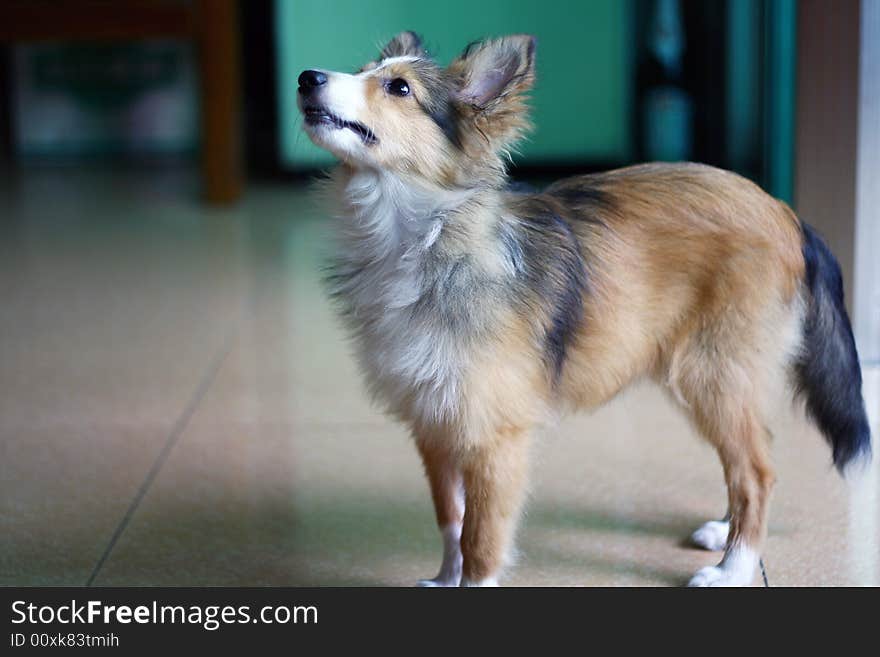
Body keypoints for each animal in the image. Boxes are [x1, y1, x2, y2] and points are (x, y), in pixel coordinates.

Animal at [298, 32, 872, 584]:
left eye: (399, 88)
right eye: (365, 70)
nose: (306, 77)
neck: (421, 236)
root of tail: (788, 215)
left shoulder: (493, 437)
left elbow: (480, 541)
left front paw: (470, 581)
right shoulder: (435, 424)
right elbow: (450, 522)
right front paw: (444, 580)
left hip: (712, 372)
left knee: (758, 472)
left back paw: (734, 568)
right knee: (751, 458)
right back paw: (724, 531)